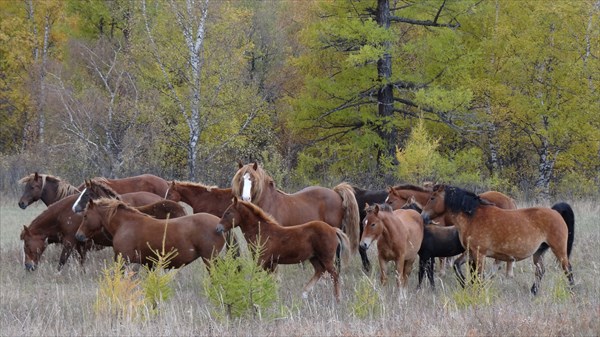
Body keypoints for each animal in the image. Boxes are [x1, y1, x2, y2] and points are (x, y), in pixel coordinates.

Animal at [75, 198, 225, 270]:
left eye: (85, 216)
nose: (78, 236)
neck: (126, 224)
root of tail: (219, 224)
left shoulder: (123, 260)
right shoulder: (148, 264)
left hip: (210, 259)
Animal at [214, 197, 352, 300]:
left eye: (228, 213)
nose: (218, 228)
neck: (261, 231)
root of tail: (333, 229)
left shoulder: (261, 261)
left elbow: (259, 278)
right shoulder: (271, 263)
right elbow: (272, 281)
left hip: (326, 258)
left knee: (334, 275)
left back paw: (337, 298)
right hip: (314, 258)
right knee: (320, 271)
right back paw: (304, 293)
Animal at [420, 184, 576, 294]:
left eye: (432, 198)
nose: (423, 216)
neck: (473, 217)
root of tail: (555, 212)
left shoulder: (480, 254)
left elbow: (478, 276)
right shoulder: (471, 252)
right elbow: (457, 266)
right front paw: (465, 285)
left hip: (559, 250)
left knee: (568, 269)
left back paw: (572, 292)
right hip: (539, 252)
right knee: (540, 271)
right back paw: (533, 292)